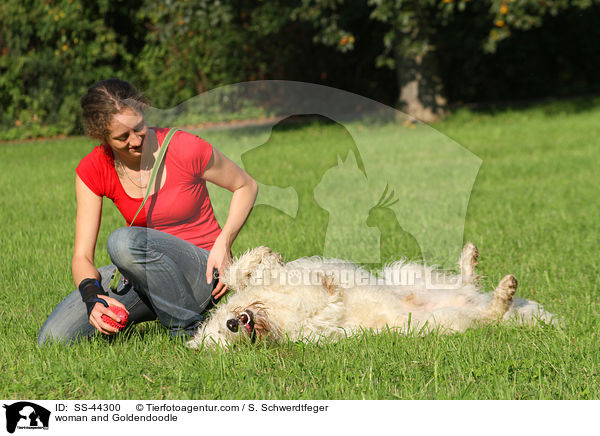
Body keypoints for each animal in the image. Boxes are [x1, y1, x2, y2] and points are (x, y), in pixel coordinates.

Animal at [189, 244, 556, 350]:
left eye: (221, 328)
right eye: (223, 339)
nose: (233, 324)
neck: (270, 312)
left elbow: (241, 273)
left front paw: (262, 258)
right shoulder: (316, 328)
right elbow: (321, 304)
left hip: (407, 272)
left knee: (466, 279)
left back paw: (471, 259)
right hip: (443, 322)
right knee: (491, 313)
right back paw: (504, 292)